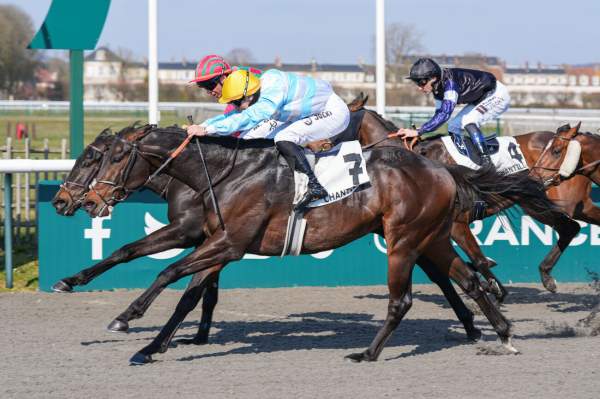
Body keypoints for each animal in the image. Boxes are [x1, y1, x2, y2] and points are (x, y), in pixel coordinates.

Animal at [79, 126, 552, 364]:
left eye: (110, 157)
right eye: (91, 157)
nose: (81, 201)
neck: (227, 172)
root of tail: (442, 169)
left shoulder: (230, 243)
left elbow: (169, 271)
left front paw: (127, 320)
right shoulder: (217, 242)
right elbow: (185, 290)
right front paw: (151, 345)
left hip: (403, 240)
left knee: (403, 300)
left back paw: (368, 353)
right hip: (432, 237)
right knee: (468, 281)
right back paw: (503, 333)